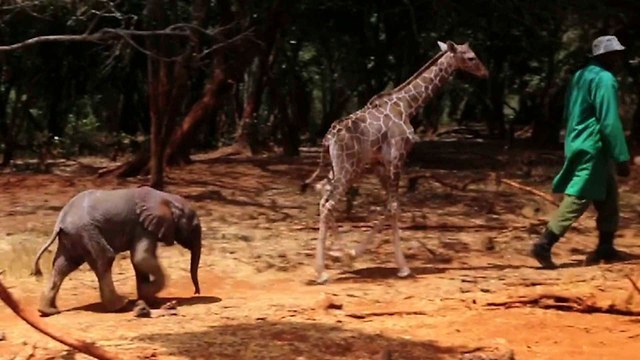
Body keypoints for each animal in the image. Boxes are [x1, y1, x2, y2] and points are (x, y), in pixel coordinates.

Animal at [32, 187, 201, 316]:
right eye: (194, 227)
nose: (196, 292)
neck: (166, 198)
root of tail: (60, 221)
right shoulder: (142, 227)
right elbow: (141, 257)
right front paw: (146, 293)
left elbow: (140, 261)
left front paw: (148, 299)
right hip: (86, 230)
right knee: (105, 258)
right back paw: (121, 304)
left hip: (73, 237)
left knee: (63, 265)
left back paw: (49, 311)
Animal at [302, 40, 488, 284]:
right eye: (470, 57)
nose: (485, 72)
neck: (408, 105)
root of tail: (327, 139)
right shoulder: (397, 157)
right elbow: (394, 207)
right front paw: (403, 268)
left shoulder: (380, 165)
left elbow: (387, 207)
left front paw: (352, 254)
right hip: (346, 168)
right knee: (328, 204)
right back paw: (322, 272)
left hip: (344, 168)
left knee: (323, 195)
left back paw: (338, 257)